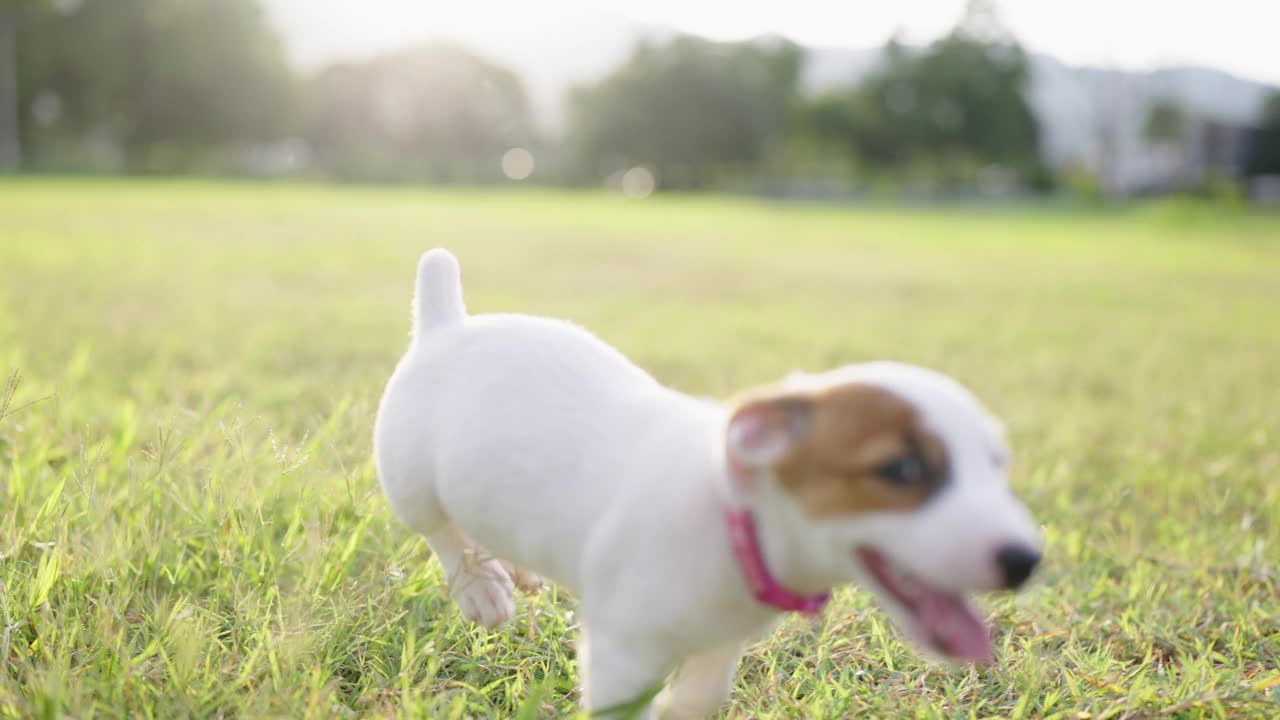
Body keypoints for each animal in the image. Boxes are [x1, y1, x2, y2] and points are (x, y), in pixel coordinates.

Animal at [373, 249, 1044, 712]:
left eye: (997, 466)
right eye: (899, 470)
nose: (1026, 560)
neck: (737, 519)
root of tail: (448, 324)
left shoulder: (719, 646)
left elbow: (699, 697)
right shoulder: (622, 655)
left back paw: (518, 568)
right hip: (410, 481)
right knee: (442, 533)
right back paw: (482, 587)